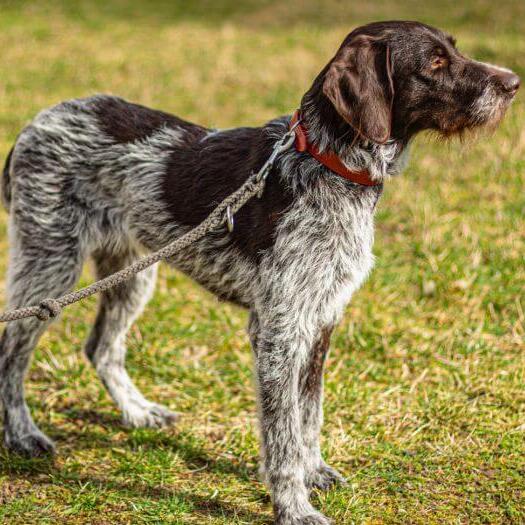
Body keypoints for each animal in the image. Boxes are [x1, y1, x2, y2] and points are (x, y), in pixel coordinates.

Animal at [0, 19, 516, 520]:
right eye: (435, 62)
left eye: (454, 49)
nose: (513, 83)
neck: (326, 160)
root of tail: (34, 124)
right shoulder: (279, 331)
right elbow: (283, 434)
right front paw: (293, 506)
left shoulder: (321, 319)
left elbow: (309, 416)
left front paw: (314, 472)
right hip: (50, 263)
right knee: (13, 352)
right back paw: (22, 435)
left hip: (133, 273)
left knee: (101, 348)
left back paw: (137, 412)